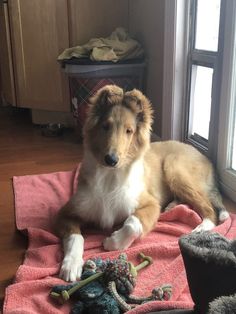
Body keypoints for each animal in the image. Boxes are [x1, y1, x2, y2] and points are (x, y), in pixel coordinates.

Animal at [55, 84, 229, 280]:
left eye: (129, 131)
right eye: (105, 126)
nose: (111, 159)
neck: (109, 178)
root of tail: (205, 156)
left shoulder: (150, 204)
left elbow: (132, 223)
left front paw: (112, 242)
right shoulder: (65, 213)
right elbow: (75, 236)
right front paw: (71, 265)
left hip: (174, 168)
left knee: (209, 208)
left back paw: (201, 228)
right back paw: (172, 207)